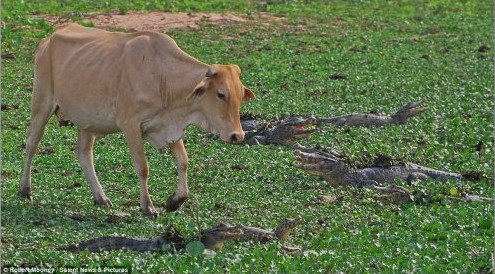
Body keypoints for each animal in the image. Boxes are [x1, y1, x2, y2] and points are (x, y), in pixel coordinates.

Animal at [19, 23, 256, 216]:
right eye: (220, 94)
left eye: (240, 94)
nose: (237, 135)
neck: (162, 76)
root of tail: (48, 39)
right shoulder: (130, 125)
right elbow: (142, 167)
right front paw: (147, 206)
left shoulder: (170, 127)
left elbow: (183, 161)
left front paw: (175, 200)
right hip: (42, 103)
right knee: (32, 144)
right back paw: (25, 190)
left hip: (85, 120)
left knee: (84, 154)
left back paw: (100, 197)